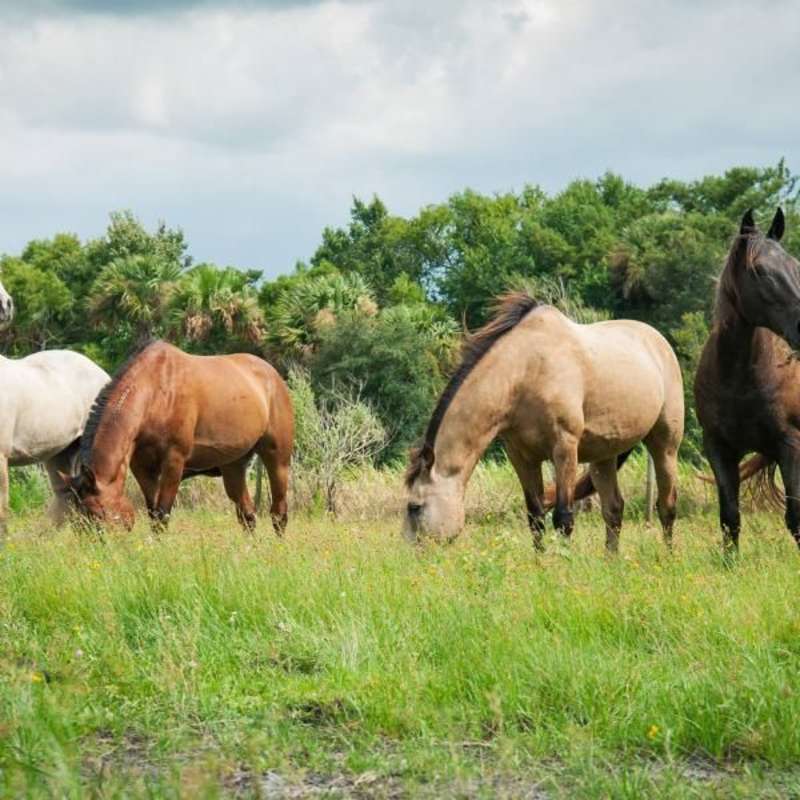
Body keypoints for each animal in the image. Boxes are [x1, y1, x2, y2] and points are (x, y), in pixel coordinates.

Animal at [63, 341, 294, 533]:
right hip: (233, 466)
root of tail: (273, 376)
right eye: (77, 521)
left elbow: (162, 515)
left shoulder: (174, 462)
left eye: (98, 514)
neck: (156, 392)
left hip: (277, 459)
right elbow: (152, 512)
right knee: (248, 516)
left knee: (278, 513)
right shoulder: (142, 468)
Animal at [403, 292, 684, 552]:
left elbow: (563, 518)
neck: (526, 372)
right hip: (605, 455)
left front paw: (563, 563)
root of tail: (658, 341)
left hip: (665, 445)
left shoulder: (564, 448)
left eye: (414, 507)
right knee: (613, 509)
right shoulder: (522, 456)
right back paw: (611, 562)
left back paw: (667, 557)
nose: (411, 553)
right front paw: (540, 565)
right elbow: (535, 517)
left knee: (666, 505)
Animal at [695, 208, 800, 552]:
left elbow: (795, 518)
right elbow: (730, 518)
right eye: (761, 272)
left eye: (795, 266)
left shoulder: (790, 445)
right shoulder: (719, 448)